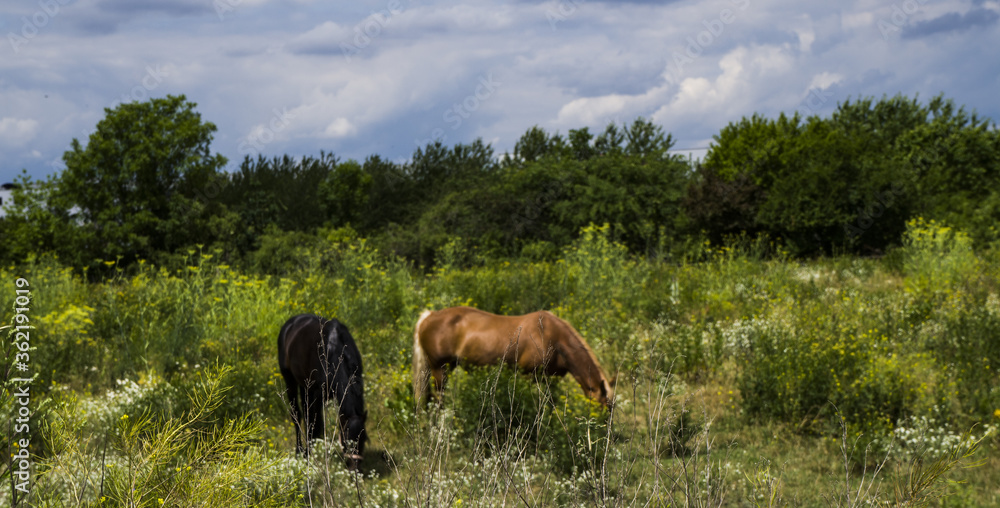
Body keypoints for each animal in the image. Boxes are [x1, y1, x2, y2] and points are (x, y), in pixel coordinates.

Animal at [277, 314, 367, 469]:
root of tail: (290, 323)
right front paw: (308, 454)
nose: (354, 469)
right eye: (345, 440)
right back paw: (299, 450)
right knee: (297, 415)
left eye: (364, 439)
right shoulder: (318, 393)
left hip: (304, 386)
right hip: (290, 381)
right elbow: (313, 422)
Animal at [412, 306, 614, 409]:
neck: (553, 337)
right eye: (603, 407)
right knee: (437, 398)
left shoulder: (548, 379)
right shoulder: (529, 375)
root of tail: (429, 316)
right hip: (439, 369)